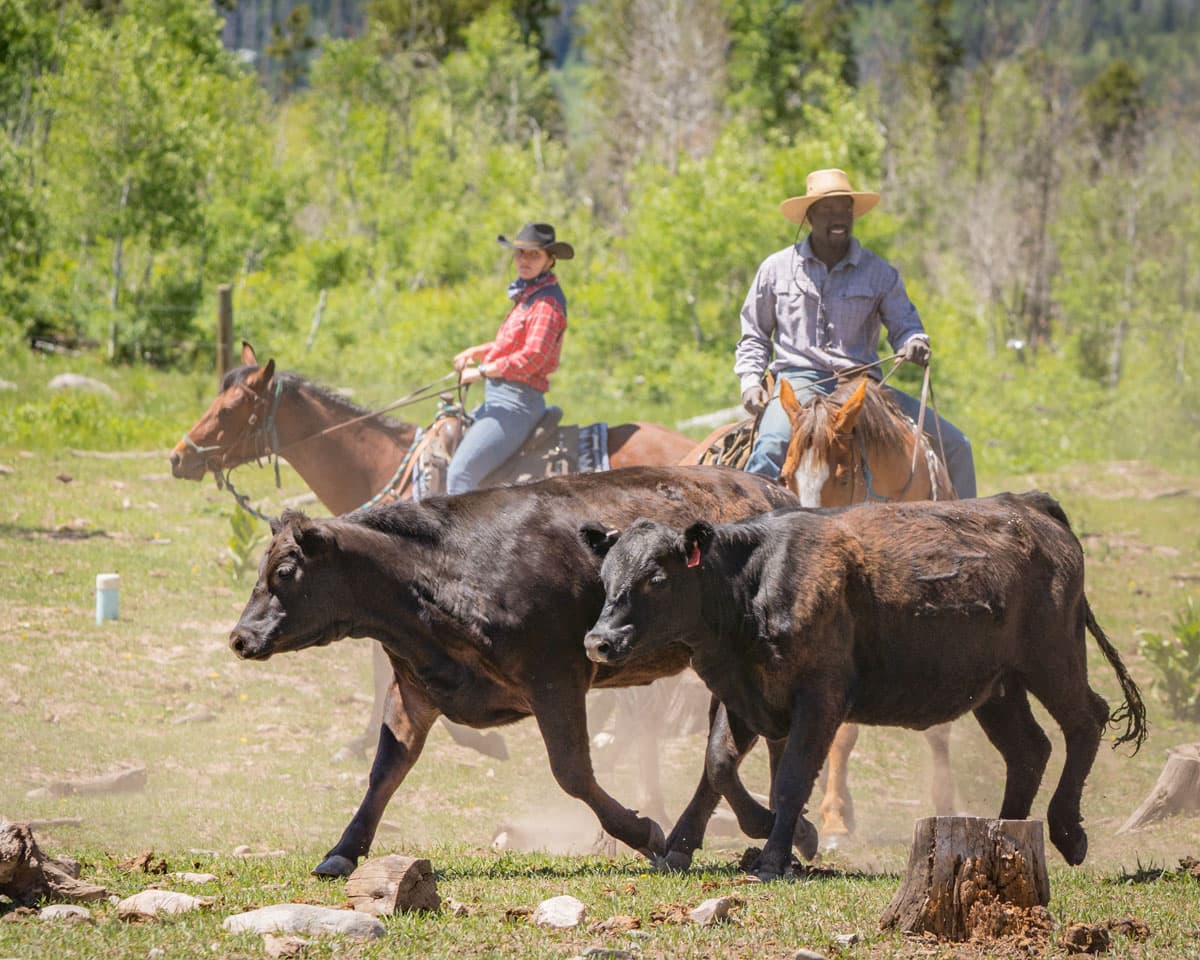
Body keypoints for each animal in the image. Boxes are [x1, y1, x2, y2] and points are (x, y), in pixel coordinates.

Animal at [227, 465, 801, 877]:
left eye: (284, 571)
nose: (240, 637)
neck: (441, 576)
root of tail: (778, 493)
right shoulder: (415, 686)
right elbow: (386, 769)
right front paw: (344, 850)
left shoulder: (556, 678)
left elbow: (572, 772)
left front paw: (642, 833)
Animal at [581, 492, 1148, 880]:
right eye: (606, 577)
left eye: (657, 578)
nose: (598, 640)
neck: (757, 581)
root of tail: (1027, 505)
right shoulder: (740, 693)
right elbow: (717, 766)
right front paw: (681, 844)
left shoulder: (820, 698)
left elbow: (791, 779)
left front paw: (777, 854)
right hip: (998, 689)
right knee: (1029, 749)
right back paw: (1004, 836)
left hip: (1053, 660)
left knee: (1086, 720)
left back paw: (1067, 832)